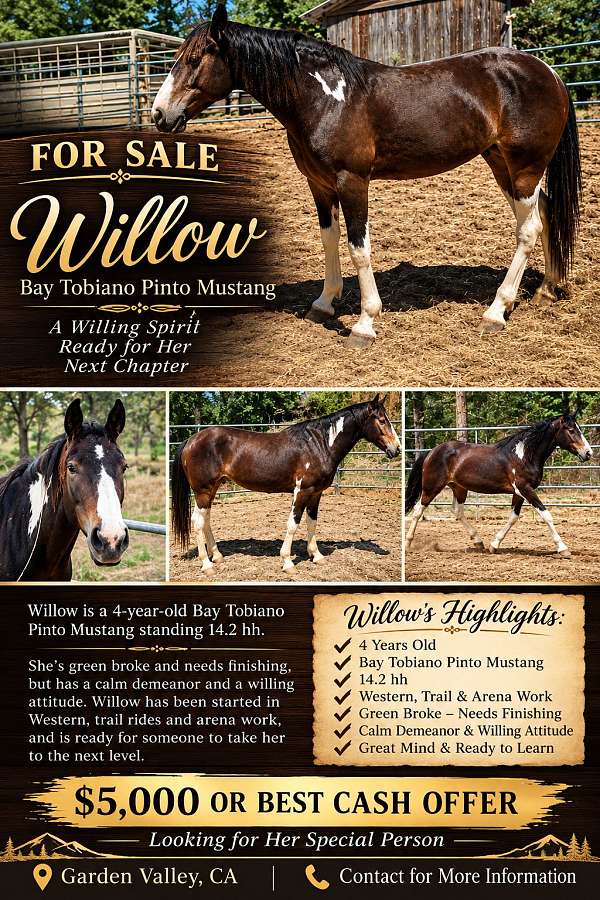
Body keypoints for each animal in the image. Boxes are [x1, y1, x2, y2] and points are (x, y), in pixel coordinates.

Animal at [152, 3, 581, 347]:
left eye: (195, 57)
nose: (160, 115)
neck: (325, 97)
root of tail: (549, 72)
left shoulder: (352, 181)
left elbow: (359, 248)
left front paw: (364, 324)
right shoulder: (319, 185)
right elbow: (329, 240)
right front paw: (324, 304)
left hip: (525, 167)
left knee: (527, 230)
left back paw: (496, 312)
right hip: (501, 164)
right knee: (544, 215)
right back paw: (547, 289)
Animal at [171, 395, 400, 574]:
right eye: (381, 420)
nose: (396, 448)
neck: (320, 444)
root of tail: (192, 439)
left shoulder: (316, 493)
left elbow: (311, 522)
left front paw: (316, 556)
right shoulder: (302, 491)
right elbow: (293, 524)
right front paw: (288, 562)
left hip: (212, 490)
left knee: (206, 520)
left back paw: (217, 556)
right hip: (203, 491)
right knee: (197, 522)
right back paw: (207, 564)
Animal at [405, 414, 592, 558]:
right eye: (571, 430)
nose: (588, 453)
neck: (524, 455)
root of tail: (431, 452)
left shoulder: (519, 493)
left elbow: (513, 517)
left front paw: (494, 545)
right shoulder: (525, 489)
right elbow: (547, 515)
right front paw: (563, 549)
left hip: (459, 488)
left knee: (457, 512)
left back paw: (478, 541)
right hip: (431, 487)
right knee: (418, 511)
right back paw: (407, 543)